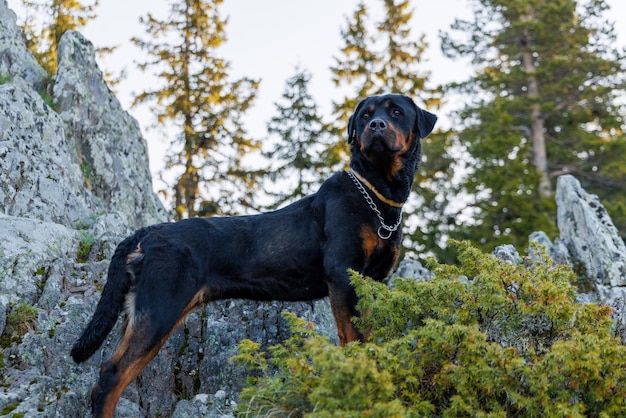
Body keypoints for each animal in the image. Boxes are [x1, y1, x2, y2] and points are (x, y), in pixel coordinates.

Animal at [70, 93, 436, 416]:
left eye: (396, 112)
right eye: (365, 115)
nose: (376, 125)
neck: (377, 194)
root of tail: (145, 233)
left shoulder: (374, 282)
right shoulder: (343, 276)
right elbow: (352, 339)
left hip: (141, 311)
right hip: (159, 308)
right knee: (111, 376)